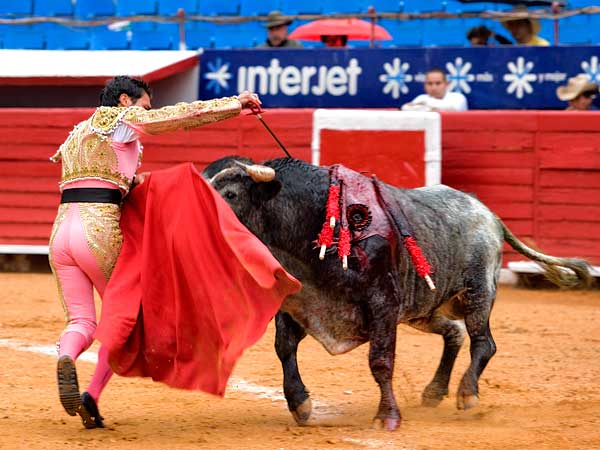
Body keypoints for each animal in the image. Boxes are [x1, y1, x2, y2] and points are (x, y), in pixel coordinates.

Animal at [203, 156, 592, 430]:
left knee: (484, 342)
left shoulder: (383, 305)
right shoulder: (296, 301)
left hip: (477, 293)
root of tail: (488, 213)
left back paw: (467, 394)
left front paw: (387, 417)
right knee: (455, 334)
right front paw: (300, 405)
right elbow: (284, 348)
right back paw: (434, 392)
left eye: (231, 194)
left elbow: (380, 361)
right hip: (424, 308)